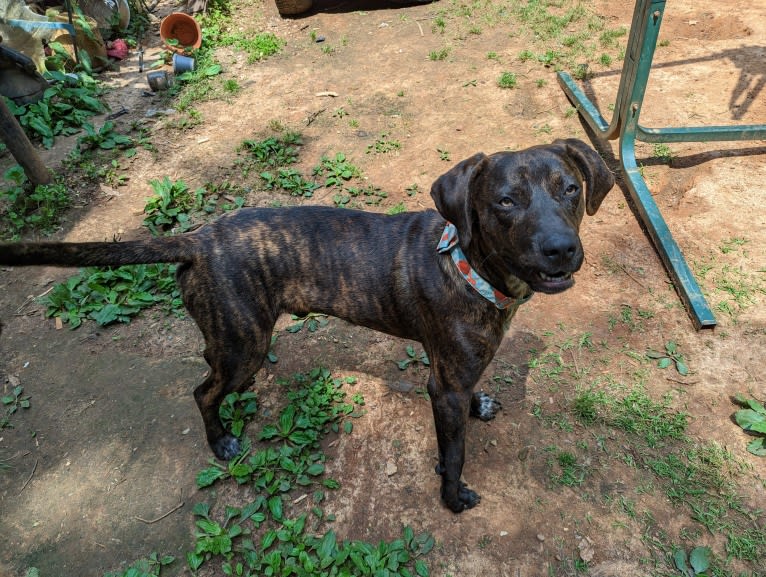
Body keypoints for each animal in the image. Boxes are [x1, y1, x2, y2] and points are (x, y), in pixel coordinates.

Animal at [0, 137, 616, 510]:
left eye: (571, 189)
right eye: (506, 202)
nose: (562, 249)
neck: (469, 266)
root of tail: (199, 238)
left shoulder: (456, 373)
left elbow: (469, 406)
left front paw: (480, 407)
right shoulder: (443, 383)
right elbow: (455, 450)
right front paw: (452, 495)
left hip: (233, 337)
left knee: (209, 364)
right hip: (246, 344)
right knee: (202, 391)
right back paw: (220, 440)